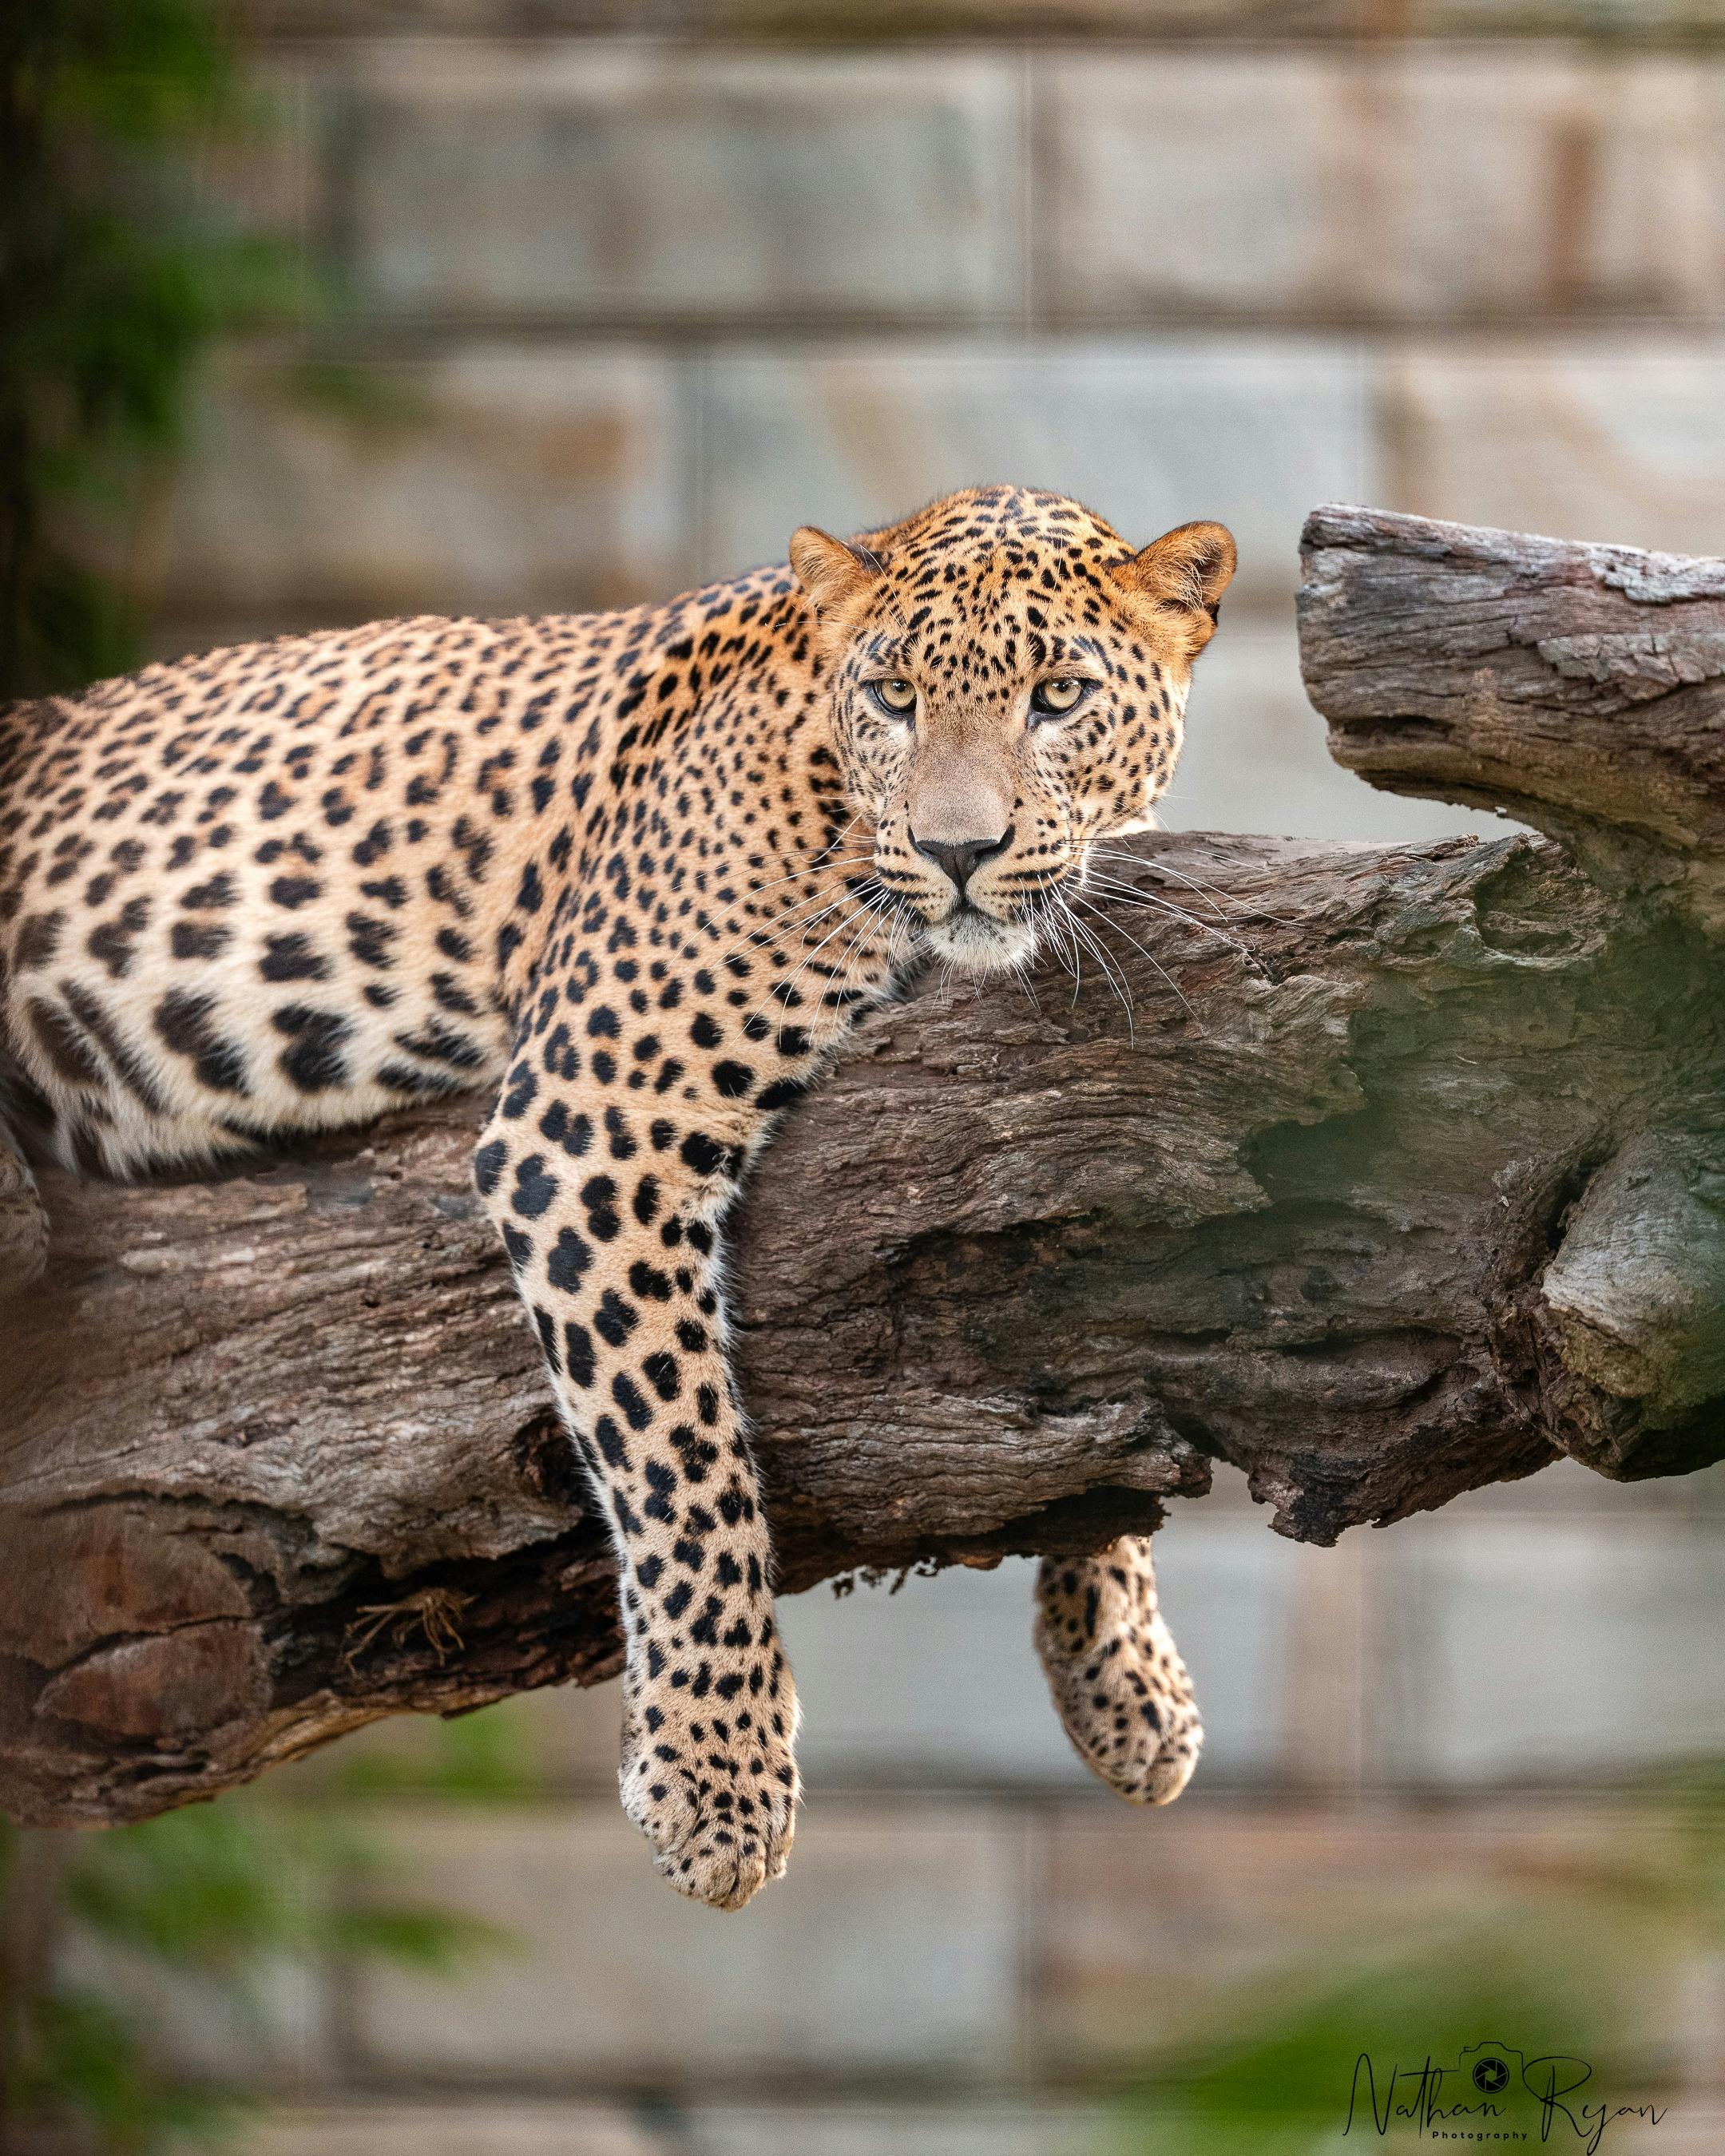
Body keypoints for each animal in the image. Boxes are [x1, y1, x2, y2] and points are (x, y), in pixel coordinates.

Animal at [0, 484, 1233, 1909]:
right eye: (895, 698)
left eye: (1058, 696)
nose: (958, 850)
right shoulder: (595, 1117)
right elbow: (680, 1455)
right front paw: (718, 1778)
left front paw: (1125, 1679)